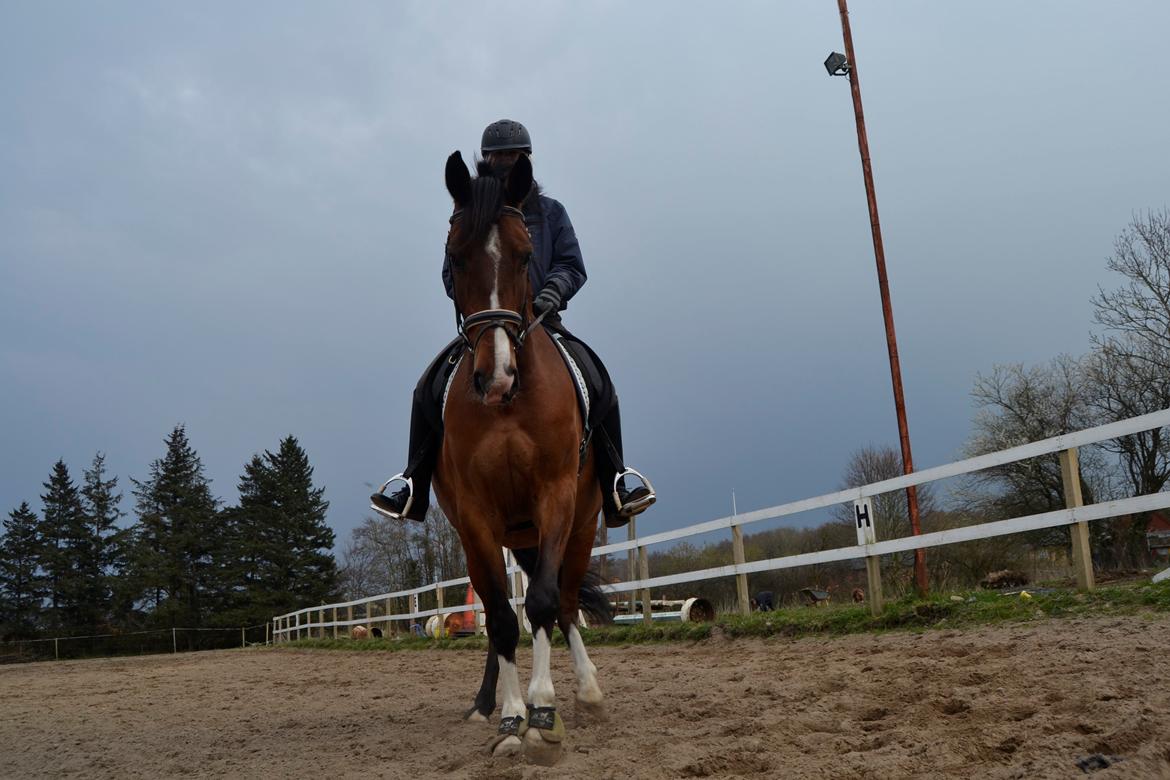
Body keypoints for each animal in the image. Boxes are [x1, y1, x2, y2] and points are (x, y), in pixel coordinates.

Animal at [432, 150, 613, 762]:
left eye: (527, 254)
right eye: (454, 257)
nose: (496, 376)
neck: (511, 403)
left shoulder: (555, 496)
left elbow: (542, 604)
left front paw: (544, 712)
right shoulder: (476, 516)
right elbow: (501, 618)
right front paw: (511, 717)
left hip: (581, 522)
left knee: (564, 603)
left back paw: (588, 691)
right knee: (497, 614)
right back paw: (484, 704)